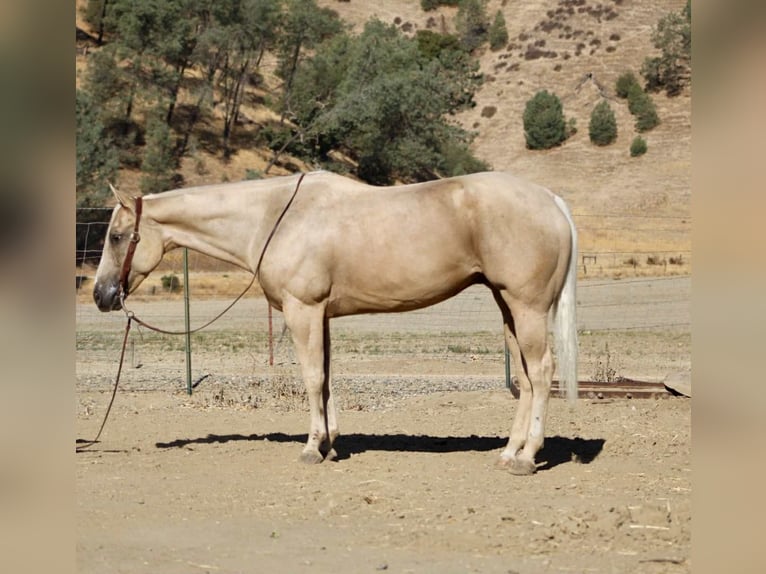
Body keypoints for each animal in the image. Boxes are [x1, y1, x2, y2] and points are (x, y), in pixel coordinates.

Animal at [93, 170, 578, 475]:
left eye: (117, 236)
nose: (101, 295)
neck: (274, 217)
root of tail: (549, 199)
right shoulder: (320, 315)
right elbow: (325, 378)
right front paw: (329, 442)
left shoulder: (302, 310)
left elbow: (311, 378)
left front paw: (312, 448)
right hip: (508, 307)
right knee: (526, 378)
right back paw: (510, 452)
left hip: (527, 307)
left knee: (541, 372)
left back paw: (526, 458)